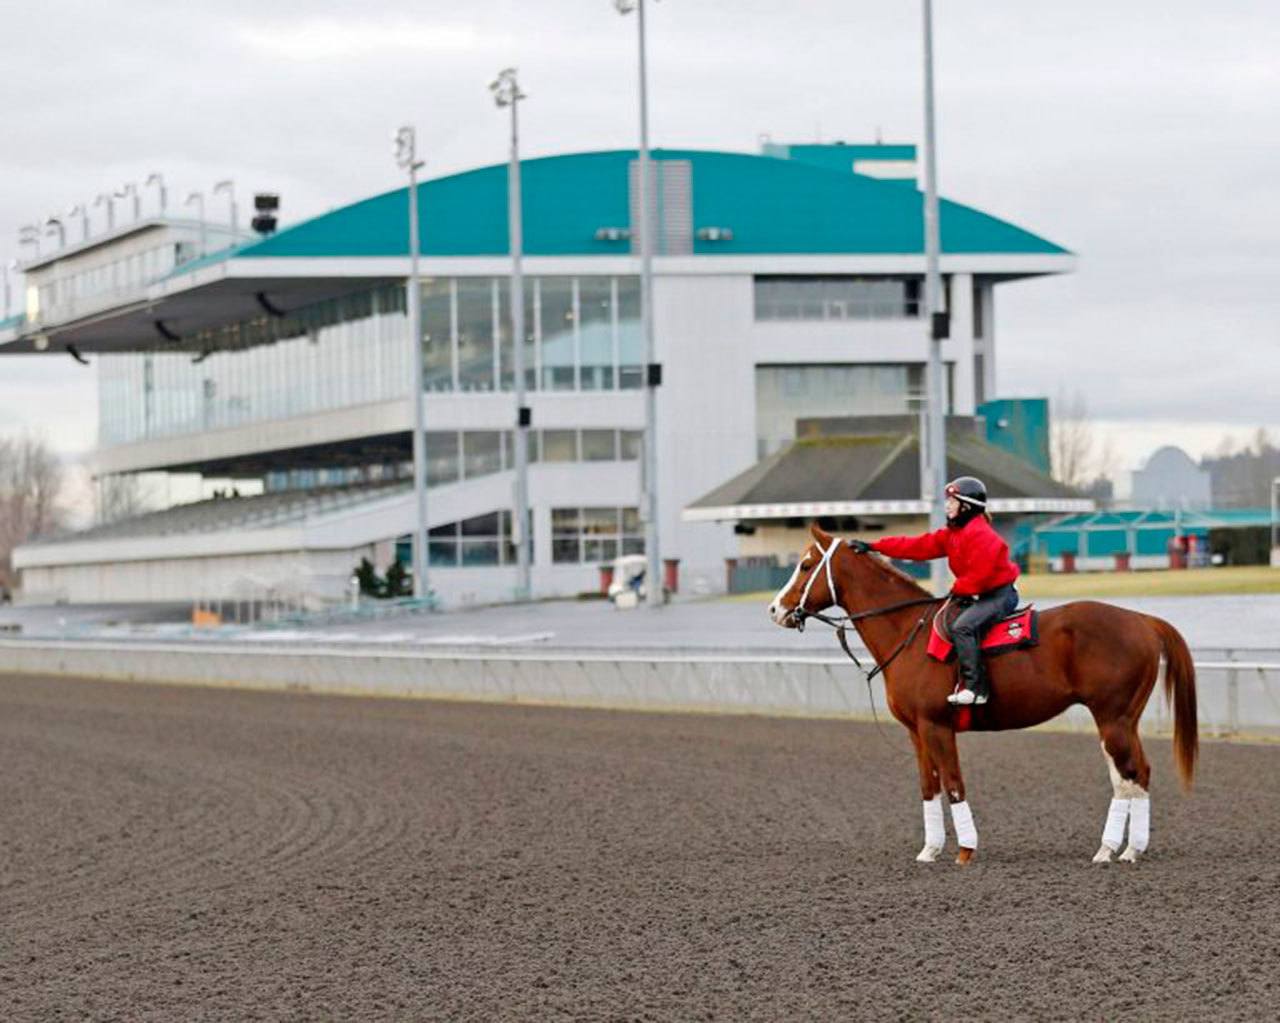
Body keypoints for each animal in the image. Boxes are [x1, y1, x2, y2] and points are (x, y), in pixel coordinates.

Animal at [768, 524, 1198, 870]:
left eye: (805, 565)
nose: (775, 609)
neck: (909, 632)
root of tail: (1141, 620)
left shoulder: (937, 727)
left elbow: (954, 783)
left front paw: (965, 851)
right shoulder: (917, 732)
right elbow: (929, 787)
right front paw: (929, 851)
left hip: (1113, 720)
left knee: (1132, 774)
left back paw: (1121, 850)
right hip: (1120, 722)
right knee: (1131, 777)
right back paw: (1119, 849)